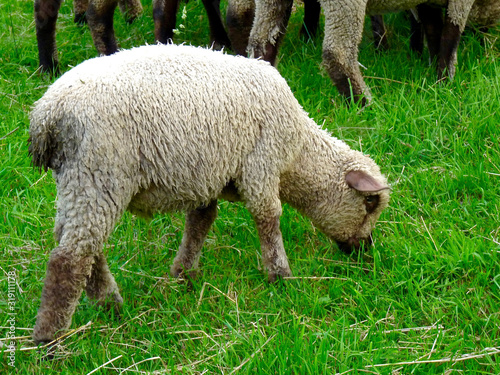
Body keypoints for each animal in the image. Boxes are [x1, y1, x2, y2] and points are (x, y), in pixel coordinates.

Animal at [28, 42, 390, 346]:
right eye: (370, 203)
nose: (365, 252)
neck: (299, 152)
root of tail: (46, 116)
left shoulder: (207, 178)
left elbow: (200, 223)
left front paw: (183, 275)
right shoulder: (261, 165)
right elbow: (268, 219)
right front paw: (281, 277)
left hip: (78, 180)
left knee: (83, 247)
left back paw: (111, 306)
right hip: (99, 171)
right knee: (69, 258)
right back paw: (50, 341)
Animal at [240, 0, 494, 105]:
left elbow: (433, 28)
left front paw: (433, 73)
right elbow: (451, 35)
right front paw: (445, 80)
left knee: (262, 42)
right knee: (338, 53)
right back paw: (365, 104)